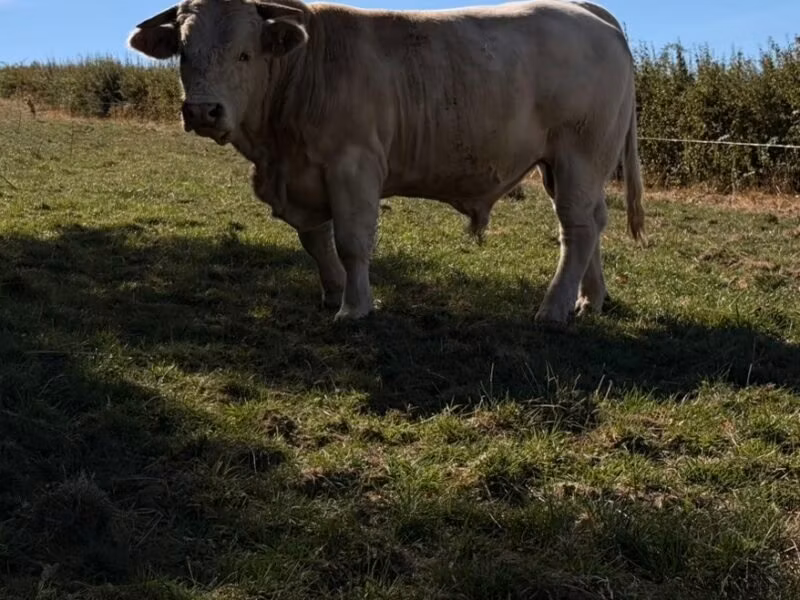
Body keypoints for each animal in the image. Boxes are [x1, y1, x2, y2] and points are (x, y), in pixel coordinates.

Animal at [128, 0, 644, 325]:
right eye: (184, 52)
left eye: (244, 53)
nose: (202, 111)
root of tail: (585, 10)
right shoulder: (303, 178)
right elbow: (316, 241)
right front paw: (332, 292)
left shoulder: (352, 166)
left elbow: (352, 242)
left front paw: (354, 307)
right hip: (569, 167)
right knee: (593, 223)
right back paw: (589, 300)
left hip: (580, 155)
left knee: (576, 229)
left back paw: (553, 309)